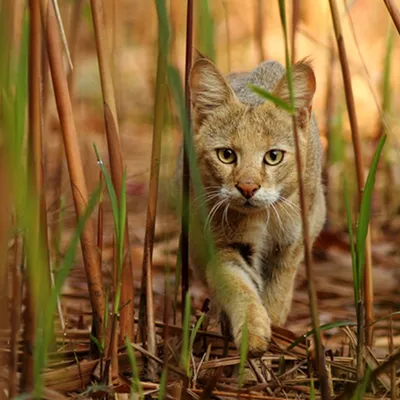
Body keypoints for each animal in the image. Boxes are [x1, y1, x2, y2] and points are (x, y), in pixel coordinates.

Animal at [186, 54, 326, 356]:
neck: (263, 217)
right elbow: (237, 286)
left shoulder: (292, 242)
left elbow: (277, 291)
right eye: (226, 155)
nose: (248, 188)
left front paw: (274, 332)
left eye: (273, 156)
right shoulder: (223, 244)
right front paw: (253, 332)